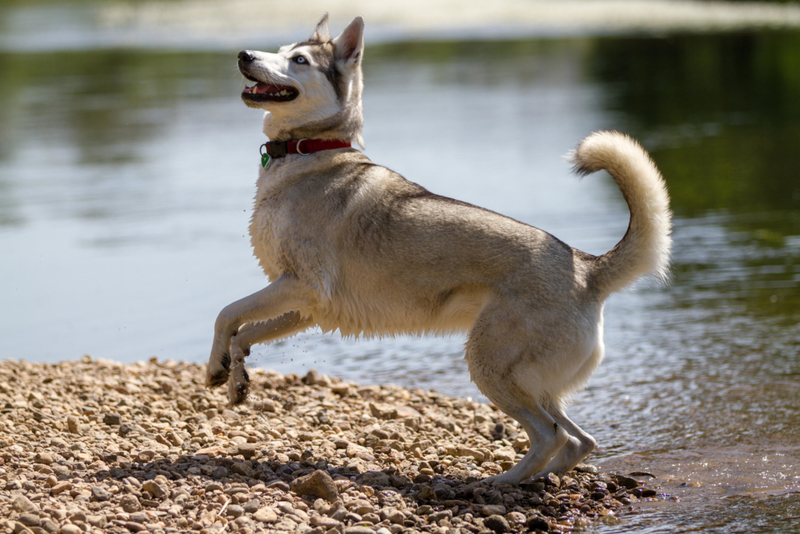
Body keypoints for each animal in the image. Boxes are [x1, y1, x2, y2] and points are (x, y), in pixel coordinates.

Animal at [206, 14, 668, 488]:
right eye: (279, 50)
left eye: (298, 60)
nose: (244, 55)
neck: (307, 152)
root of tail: (586, 267)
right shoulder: (305, 305)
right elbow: (243, 331)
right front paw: (231, 376)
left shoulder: (303, 286)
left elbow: (227, 312)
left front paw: (216, 368)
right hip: (536, 383)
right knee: (580, 440)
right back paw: (538, 479)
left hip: (491, 366)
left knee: (550, 435)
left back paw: (498, 482)